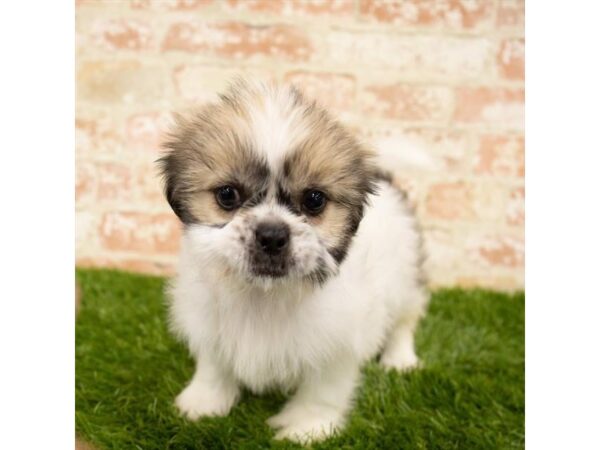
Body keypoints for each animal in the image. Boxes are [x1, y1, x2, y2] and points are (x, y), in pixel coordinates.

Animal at [159, 79, 428, 442]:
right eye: (227, 195)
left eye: (314, 200)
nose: (272, 235)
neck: (264, 295)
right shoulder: (208, 318)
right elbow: (214, 364)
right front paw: (205, 401)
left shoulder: (338, 340)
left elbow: (323, 389)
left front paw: (307, 426)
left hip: (405, 277)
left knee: (404, 319)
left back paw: (399, 359)